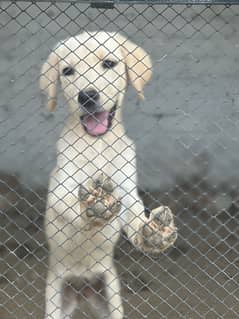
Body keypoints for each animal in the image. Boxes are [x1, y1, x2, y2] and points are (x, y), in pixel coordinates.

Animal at [39, 30, 177, 319]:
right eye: (67, 70)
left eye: (109, 64)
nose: (87, 96)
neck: (97, 143)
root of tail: (81, 289)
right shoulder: (61, 187)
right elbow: (70, 203)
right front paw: (95, 204)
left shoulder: (126, 189)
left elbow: (134, 214)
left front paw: (152, 233)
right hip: (54, 302)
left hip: (110, 299)